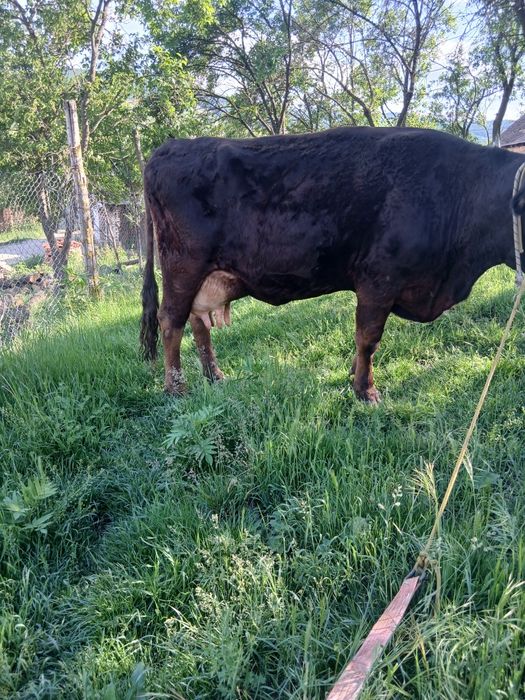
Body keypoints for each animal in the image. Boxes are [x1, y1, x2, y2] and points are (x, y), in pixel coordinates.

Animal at [140, 127, 525, 402]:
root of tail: (167, 149)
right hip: (183, 265)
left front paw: (353, 376)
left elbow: (363, 340)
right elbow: (368, 337)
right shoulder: (378, 279)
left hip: (204, 276)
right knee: (170, 320)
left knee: (198, 321)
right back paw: (176, 388)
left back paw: (215, 376)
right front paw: (366, 391)